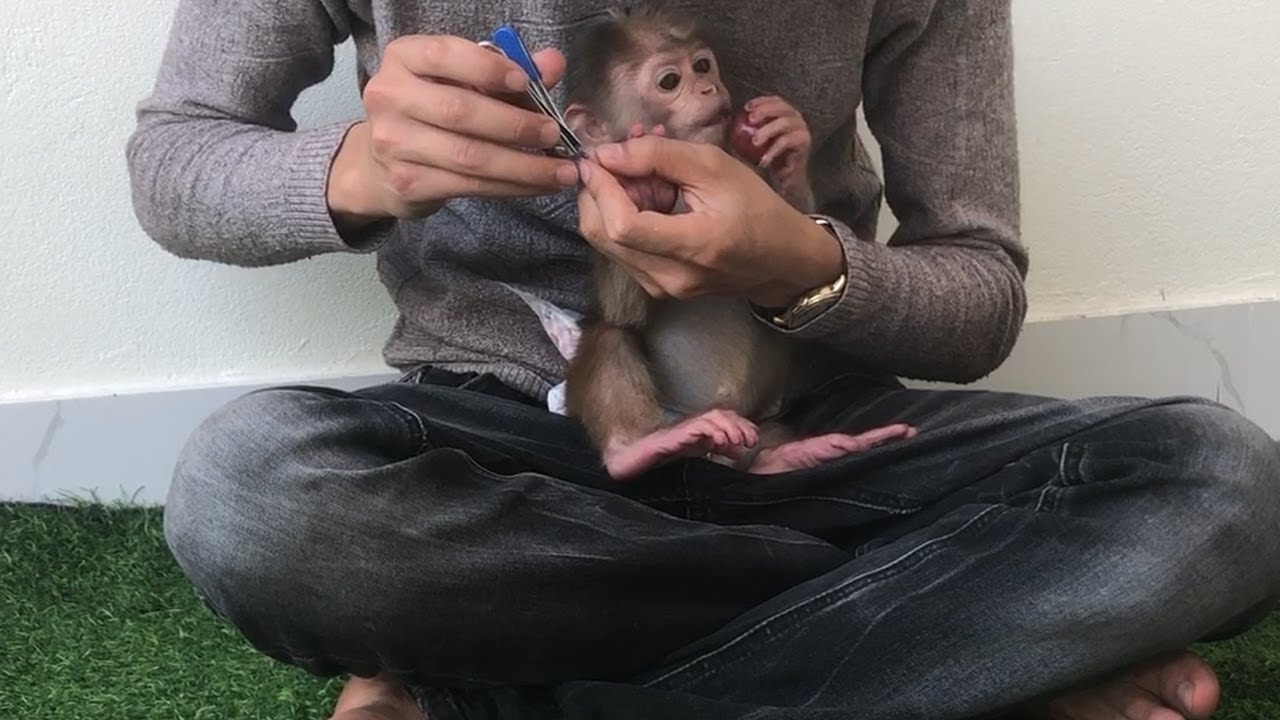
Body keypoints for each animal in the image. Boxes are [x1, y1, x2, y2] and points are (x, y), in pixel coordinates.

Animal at [559, 1, 916, 481]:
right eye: (669, 81)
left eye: (702, 64)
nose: (709, 86)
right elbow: (624, 308)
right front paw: (641, 192)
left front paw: (789, 146)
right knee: (610, 335)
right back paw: (637, 448)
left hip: (754, 425)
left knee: (759, 445)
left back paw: (792, 453)